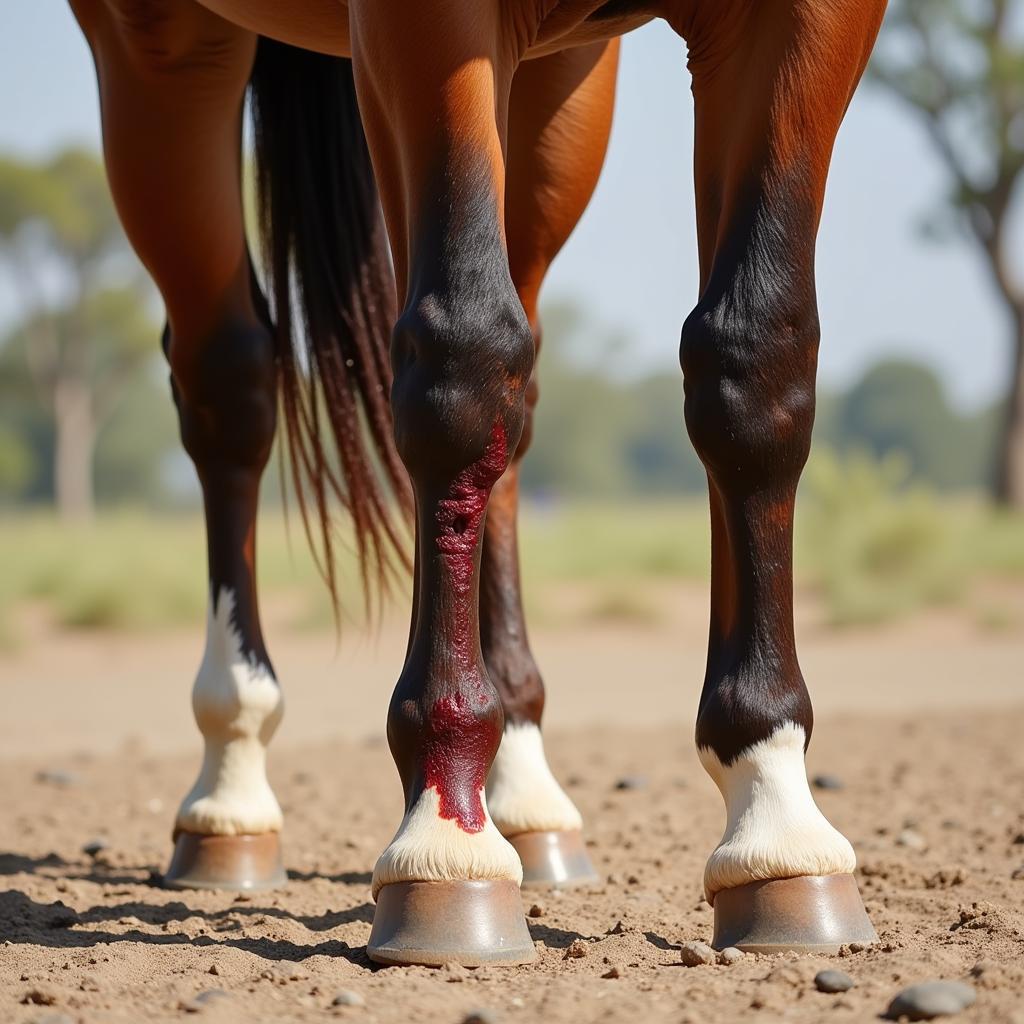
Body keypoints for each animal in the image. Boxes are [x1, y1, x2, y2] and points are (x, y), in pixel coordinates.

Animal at [66, 0, 888, 966]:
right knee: (233, 384)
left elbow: (753, 363)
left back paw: (524, 791)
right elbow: (462, 354)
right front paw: (444, 834)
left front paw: (776, 818)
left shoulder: (801, 28)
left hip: (554, 84)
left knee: (511, 397)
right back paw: (234, 785)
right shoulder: (422, 27)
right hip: (166, 50)